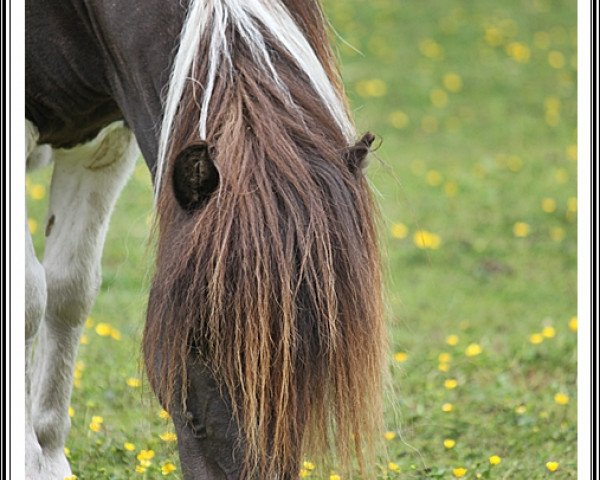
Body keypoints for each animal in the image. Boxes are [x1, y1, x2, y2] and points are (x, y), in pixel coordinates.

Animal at [24, 1, 384, 478]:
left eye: (320, 341)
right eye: (196, 340)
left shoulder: (105, 139)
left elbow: (69, 291)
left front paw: (47, 455)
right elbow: (30, 299)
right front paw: (30, 460)